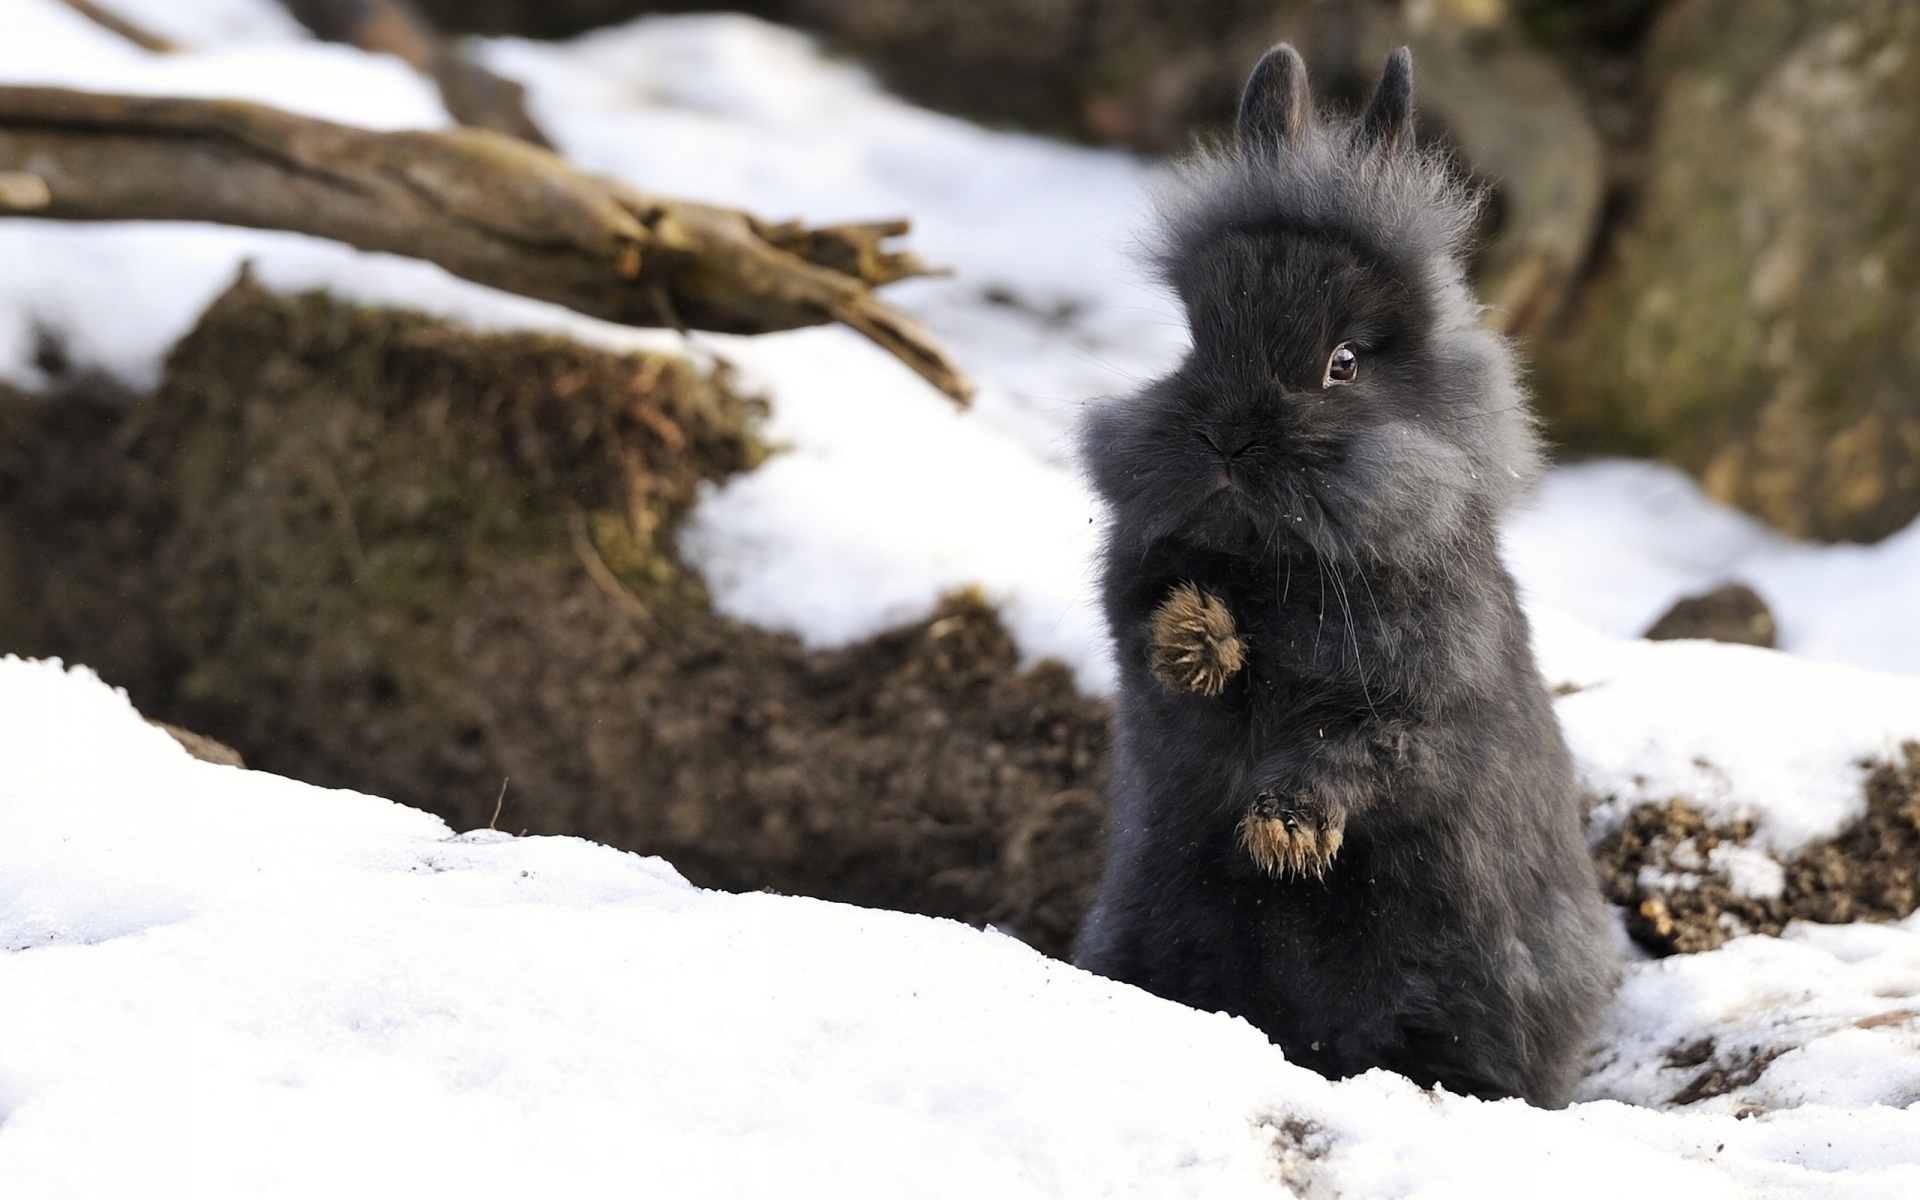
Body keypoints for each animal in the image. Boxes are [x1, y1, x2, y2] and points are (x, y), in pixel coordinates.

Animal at [1071, 44, 1613, 1107]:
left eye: (1345, 364)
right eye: (1197, 340)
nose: (1227, 438)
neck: (1276, 565)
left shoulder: (1416, 707)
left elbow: (1353, 753)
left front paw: (1284, 835)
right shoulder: (1138, 616)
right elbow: (1161, 641)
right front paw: (1200, 637)